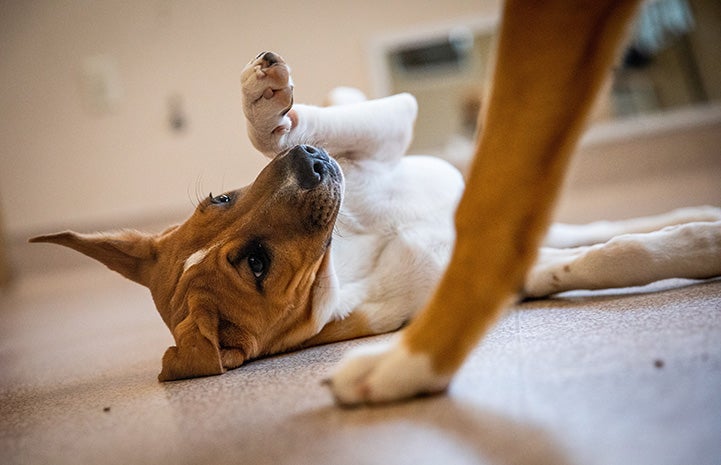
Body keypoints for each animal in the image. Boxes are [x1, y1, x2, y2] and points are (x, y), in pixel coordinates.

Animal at [31, 0, 720, 402]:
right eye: (256, 264)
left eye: (220, 197)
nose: (312, 163)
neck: (351, 251)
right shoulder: (497, 271)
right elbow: (608, 255)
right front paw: (700, 246)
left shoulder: (387, 134)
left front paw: (270, 105)